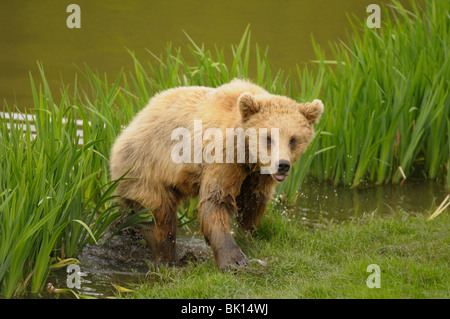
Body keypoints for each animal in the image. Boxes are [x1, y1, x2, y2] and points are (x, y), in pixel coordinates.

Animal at [111, 79, 326, 272]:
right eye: (268, 137)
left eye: (293, 139)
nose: (282, 165)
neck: (248, 156)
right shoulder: (223, 155)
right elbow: (216, 200)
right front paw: (235, 260)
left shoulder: (256, 174)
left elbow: (252, 202)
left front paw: (251, 236)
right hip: (145, 170)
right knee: (160, 219)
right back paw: (167, 259)